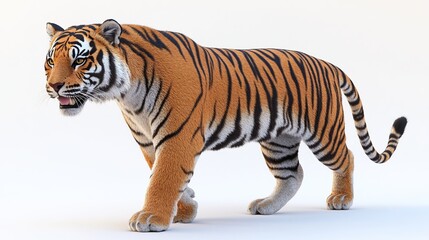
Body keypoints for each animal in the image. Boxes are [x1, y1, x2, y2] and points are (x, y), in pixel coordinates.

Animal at [45, 19, 406, 232]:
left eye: (80, 59)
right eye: (51, 60)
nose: (54, 86)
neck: (127, 92)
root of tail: (329, 64)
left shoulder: (177, 137)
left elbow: (163, 177)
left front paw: (152, 218)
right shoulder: (148, 140)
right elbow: (164, 175)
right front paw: (185, 208)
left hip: (322, 131)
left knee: (347, 157)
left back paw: (341, 198)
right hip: (279, 140)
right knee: (293, 174)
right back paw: (266, 206)